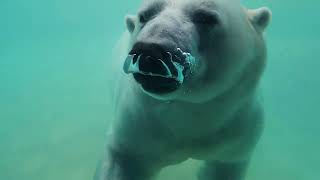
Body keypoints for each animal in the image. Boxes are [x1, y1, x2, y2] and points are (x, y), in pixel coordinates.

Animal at [96, 0, 272, 180]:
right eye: (144, 15)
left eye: (205, 17)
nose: (150, 49)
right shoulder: (137, 123)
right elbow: (124, 159)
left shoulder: (237, 133)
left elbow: (222, 167)